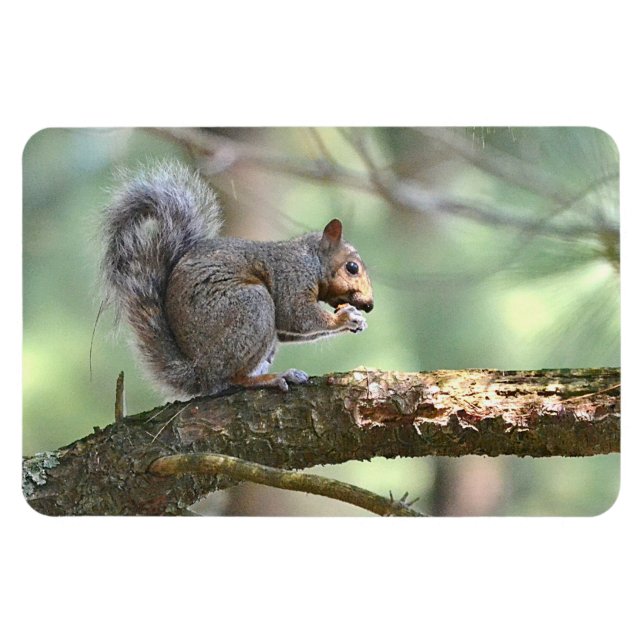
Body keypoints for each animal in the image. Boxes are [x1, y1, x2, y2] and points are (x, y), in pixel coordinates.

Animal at [99, 161, 374, 399]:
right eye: (352, 267)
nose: (369, 305)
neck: (312, 260)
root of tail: (201, 372)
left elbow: (288, 329)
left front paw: (356, 321)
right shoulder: (291, 277)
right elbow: (295, 315)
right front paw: (345, 318)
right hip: (252, 307)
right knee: (233, 379)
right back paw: (271, 378)